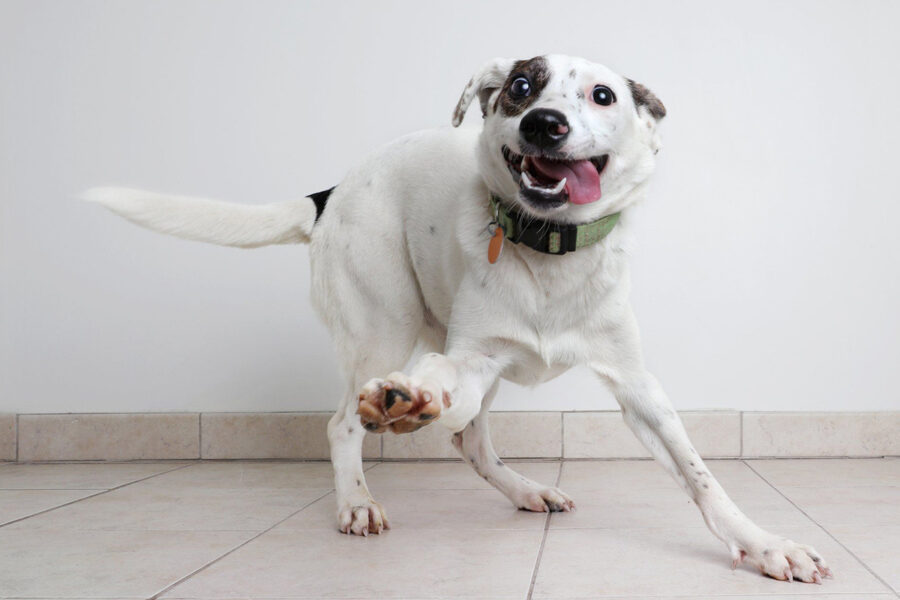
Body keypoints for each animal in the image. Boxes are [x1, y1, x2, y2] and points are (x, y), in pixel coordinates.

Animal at [84, 55, 828, 580]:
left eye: (603, 96)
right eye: (522, 85)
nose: (543, 123)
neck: (548, 249)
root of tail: (333, 190)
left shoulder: (638, 386)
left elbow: (702, 478)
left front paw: (766, 544)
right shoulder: (472, 356)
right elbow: (437, 386)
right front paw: (406, 401)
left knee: (467, 437)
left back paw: (521, 488)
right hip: (382, 323)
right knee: (348, 422)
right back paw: (360, 491)